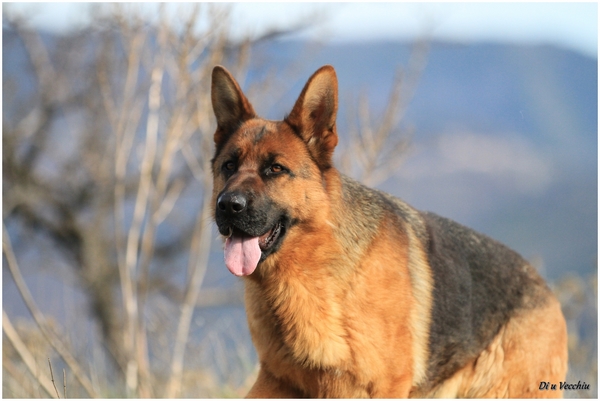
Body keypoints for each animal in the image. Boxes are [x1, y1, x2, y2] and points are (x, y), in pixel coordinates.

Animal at [210, 64, 568, 398]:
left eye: (275, 169)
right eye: (229, 166)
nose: (228, 205)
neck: (314, 272)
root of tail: (545, 287)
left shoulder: (383, 386)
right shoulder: (277, 380)